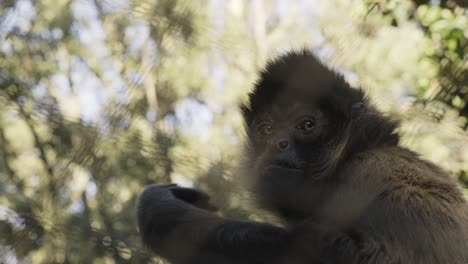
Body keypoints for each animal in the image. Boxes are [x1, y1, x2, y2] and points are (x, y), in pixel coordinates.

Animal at [136, 50, 468, 264]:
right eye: (267, 129)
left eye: (306, 125)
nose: (278, 144)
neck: (355, 152)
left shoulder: (373, 171)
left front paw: (161, 212)